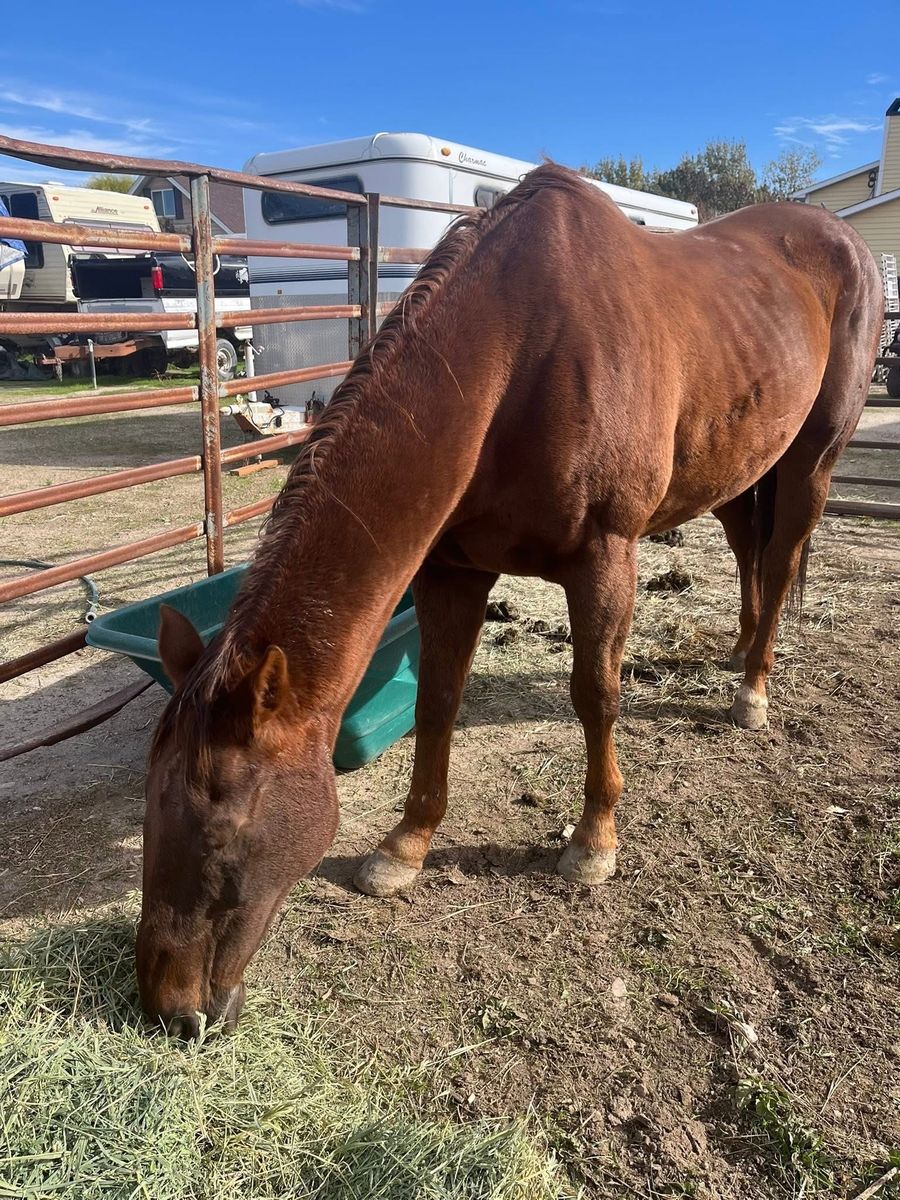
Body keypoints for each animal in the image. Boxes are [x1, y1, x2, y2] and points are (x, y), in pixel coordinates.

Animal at [136, 163, 882, 1035]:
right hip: (739, 463)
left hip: (811, 459)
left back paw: (753, 688)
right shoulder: (451, 573)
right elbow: (437, 701)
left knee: (784, 553)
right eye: (149, 808)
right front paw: (405, 845)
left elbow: (596, 695)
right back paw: (735, 653)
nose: (167, 1008)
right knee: (748, 551)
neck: (517, 354)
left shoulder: (605, 559)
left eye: (225, 832)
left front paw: (593, 842)